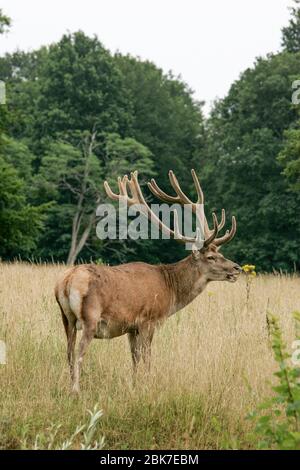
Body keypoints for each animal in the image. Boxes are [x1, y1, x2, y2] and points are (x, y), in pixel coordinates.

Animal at [54, 169, 241, 392]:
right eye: (211, 257)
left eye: (220, 253)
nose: (237, 268)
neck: (170, 290)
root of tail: (65, 283)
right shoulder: (148, 320)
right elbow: (147, 358)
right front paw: (148, 384)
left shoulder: (131, 327)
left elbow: (134, 359)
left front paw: (134, 385)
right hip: (90, 316)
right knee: (80, 353)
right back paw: (76, 390)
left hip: (67, 319)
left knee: (68, 352)